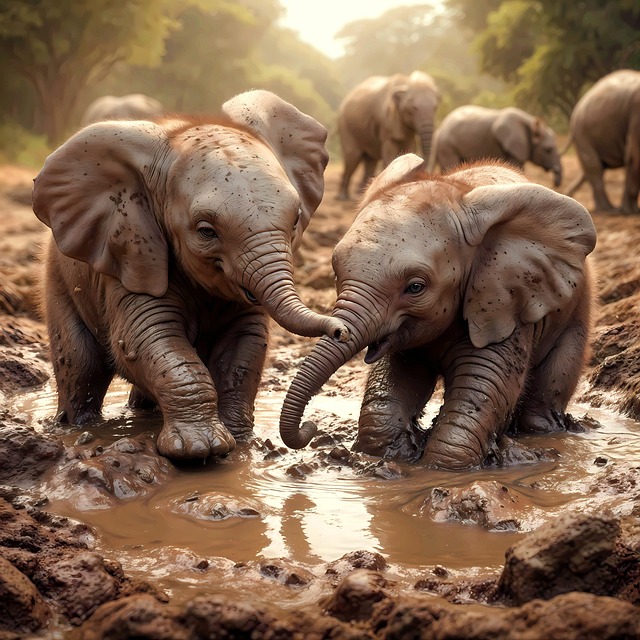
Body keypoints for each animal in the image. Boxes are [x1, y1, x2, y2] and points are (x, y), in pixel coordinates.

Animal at [32, 89, 349, 462]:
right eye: (206, 231)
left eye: (296, 219)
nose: (340, 330)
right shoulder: (131, 254)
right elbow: (144, 338)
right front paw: (200, 449)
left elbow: (245, 344)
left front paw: (240, 441)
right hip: (58, 279)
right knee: (81, 366)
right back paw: (77, 428)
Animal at [279, 154, 597, 470]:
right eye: (335, 274)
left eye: (415, 287)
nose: (310, 427)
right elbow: (397, 384)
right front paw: (398, 456)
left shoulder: (503, 305)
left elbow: (484, 388)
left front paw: (441, 470)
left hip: (576, 309)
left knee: (547, 394)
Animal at [336, 71, 441, 201]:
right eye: (413, 108)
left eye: (435, 107)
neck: (406, 82)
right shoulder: (387, 122)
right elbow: (389, 149)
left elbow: (410, 146)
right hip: (346, 126)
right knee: (352, 157)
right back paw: (343, 197)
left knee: (370, 160)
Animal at [434, 106, 563, 187]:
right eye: (548, 150)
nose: (555, 184)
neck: (530, 122)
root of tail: (442, 126)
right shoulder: (515, 147)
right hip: (447, 145)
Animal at [564, 69, 640, 213]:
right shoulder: (636, 113)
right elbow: (634, 155)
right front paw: (630, 211)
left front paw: (629, 210)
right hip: (582, 132)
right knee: (594, 166)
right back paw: (608, 210)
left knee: (593, 168)